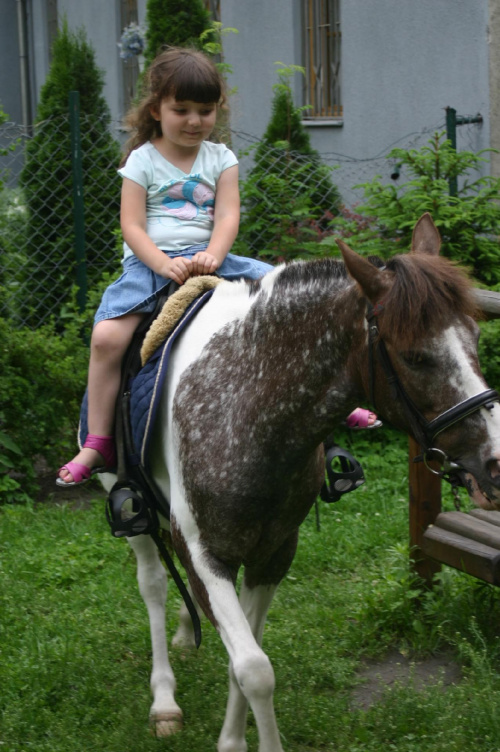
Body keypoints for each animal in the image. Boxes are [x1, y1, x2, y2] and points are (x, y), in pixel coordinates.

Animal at [99, 212, 500, 752]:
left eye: (474, 340)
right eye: (416, 357)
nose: (493, 461)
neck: (245, 407)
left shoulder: (274, 551)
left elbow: (244, 656)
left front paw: (233, 740)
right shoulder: (205, 553)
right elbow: (254, 668)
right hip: (126, 501)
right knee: (153, 584)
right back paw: (164, 698)